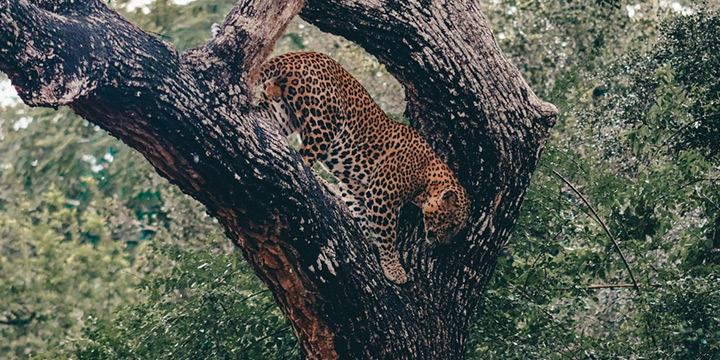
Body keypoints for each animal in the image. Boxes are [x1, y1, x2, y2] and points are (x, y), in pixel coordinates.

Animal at [256, 52, 470, 284]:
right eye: (451, 225)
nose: (443, 245)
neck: (427, 178)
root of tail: (299, 55)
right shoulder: (381, 195)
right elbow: (388, 236)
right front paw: (394, 270)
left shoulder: (354, 188)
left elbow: (361, 216)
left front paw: (365, 238)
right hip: (323, 122)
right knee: (301, 158)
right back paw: (321, 182)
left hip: (280, 112)